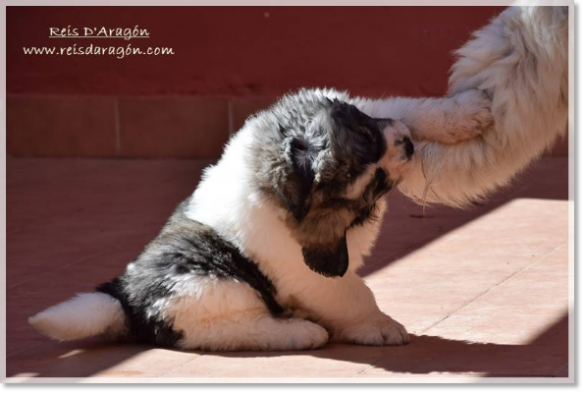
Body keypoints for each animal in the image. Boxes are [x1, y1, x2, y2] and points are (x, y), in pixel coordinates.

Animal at [29, 87, 490, 350]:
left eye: (366, 134)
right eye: (373, 183)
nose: (409, 147)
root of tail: (125, 294)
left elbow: (409, 108)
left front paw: (465, 113)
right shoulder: (309, 272)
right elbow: (353, 293)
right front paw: (379, 327)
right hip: (212, 287)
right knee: (218, 332)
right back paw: (299, 332)